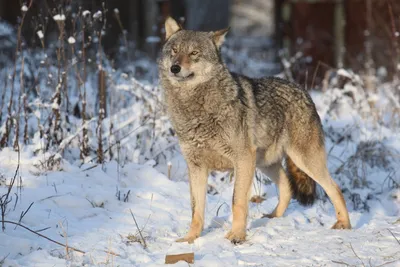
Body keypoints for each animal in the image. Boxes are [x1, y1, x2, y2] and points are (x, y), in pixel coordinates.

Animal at [158, 16, 352, 245]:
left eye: (194, 53)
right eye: (174, 50)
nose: (175, 68)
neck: (197, 110)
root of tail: (303, 90)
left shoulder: (242, 160)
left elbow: (237, 201)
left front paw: (237, 236)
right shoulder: (196, 167)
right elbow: (196, 210)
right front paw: (190, 239)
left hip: (303, 161)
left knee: (335, 188)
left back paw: (344, 224)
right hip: (265, 164)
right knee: (287, 186)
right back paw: (273, 217)